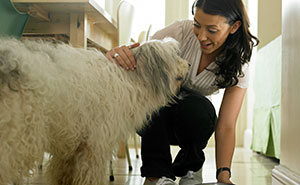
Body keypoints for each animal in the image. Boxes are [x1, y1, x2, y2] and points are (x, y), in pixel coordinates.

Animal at [0, 37, 188, 185]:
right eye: (175, 56)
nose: (189, 64)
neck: (129, 78)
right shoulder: (95, 143)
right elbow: (90, 173)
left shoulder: (72, 143)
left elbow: (62, 173)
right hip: (18, 139)